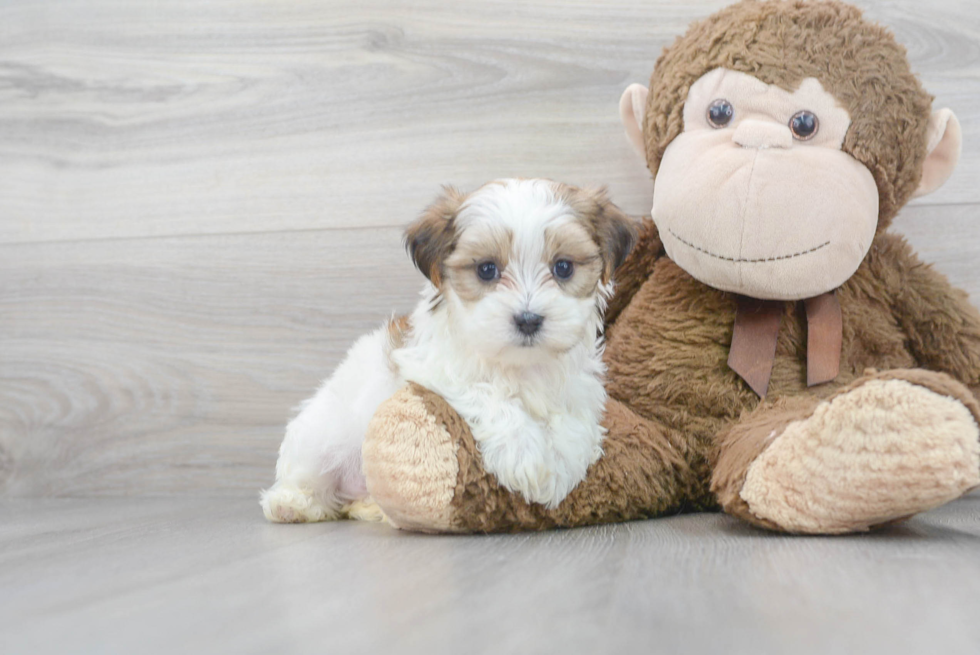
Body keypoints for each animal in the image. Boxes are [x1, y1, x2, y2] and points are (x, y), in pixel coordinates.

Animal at [260, 178, 636, 524]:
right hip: (321, 435)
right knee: (308, 476)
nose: (528, 319)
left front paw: (567, 461)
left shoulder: (579, 381)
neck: (520, 365)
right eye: (487, 269)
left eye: (563, 267)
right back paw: (292, 504)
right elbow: (488, 395)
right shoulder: (433, 368)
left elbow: (575, 413)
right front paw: (528, 459)